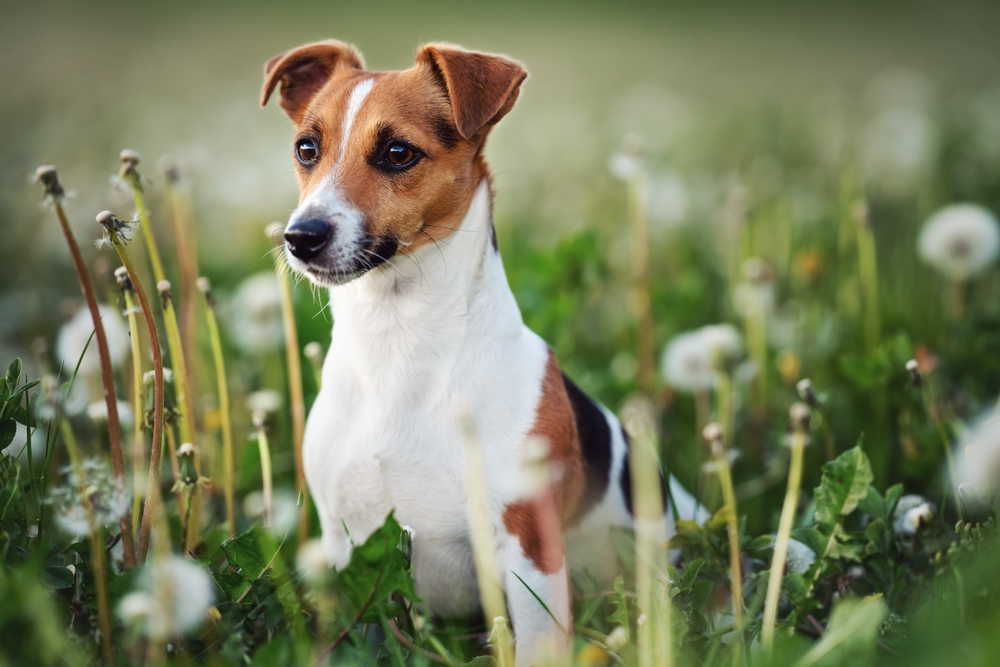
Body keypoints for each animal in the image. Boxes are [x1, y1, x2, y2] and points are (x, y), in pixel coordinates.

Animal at [262, 41, 708, 667]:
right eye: (307, 148)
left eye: (398, 152)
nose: (301, 236)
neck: (398, 346)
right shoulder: (343, 548)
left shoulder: (530, 551)